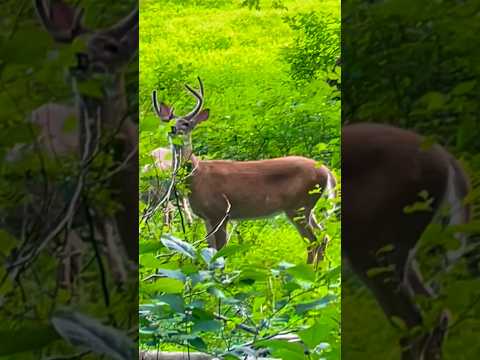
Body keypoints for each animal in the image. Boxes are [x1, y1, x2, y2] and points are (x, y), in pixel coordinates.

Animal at [152, 77, 336, 262]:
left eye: (186, 123)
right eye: (168, 121)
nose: (173, 129)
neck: (196, 176)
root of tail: (326, 171)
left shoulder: (220, 211)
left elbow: (220, 253)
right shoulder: (206, 217)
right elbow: (210, 251)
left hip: (298, 205)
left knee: (314, 242)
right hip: (306, 207)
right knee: (323, 237)